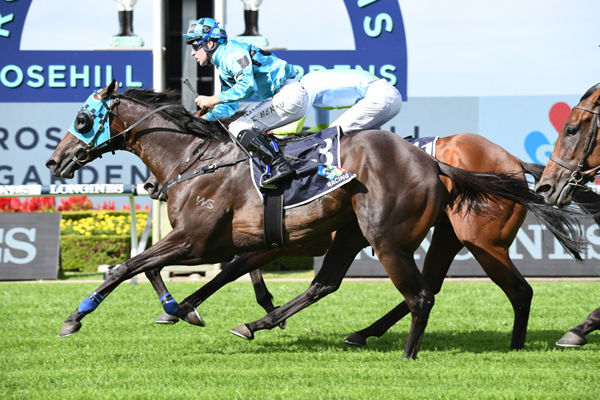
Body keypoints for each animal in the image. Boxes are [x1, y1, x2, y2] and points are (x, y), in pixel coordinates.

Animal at [49, 83, 584, 358]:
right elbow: (168, 270)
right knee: (332, 283)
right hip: (373, 234)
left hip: (415, 240)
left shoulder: (198, 239)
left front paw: (75, 317)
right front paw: (182, 308)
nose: (55, 162)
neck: (197, 159)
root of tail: (434, 163)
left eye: (81, 119)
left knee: (443, 293)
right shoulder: (234, 241)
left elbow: (131, 267)